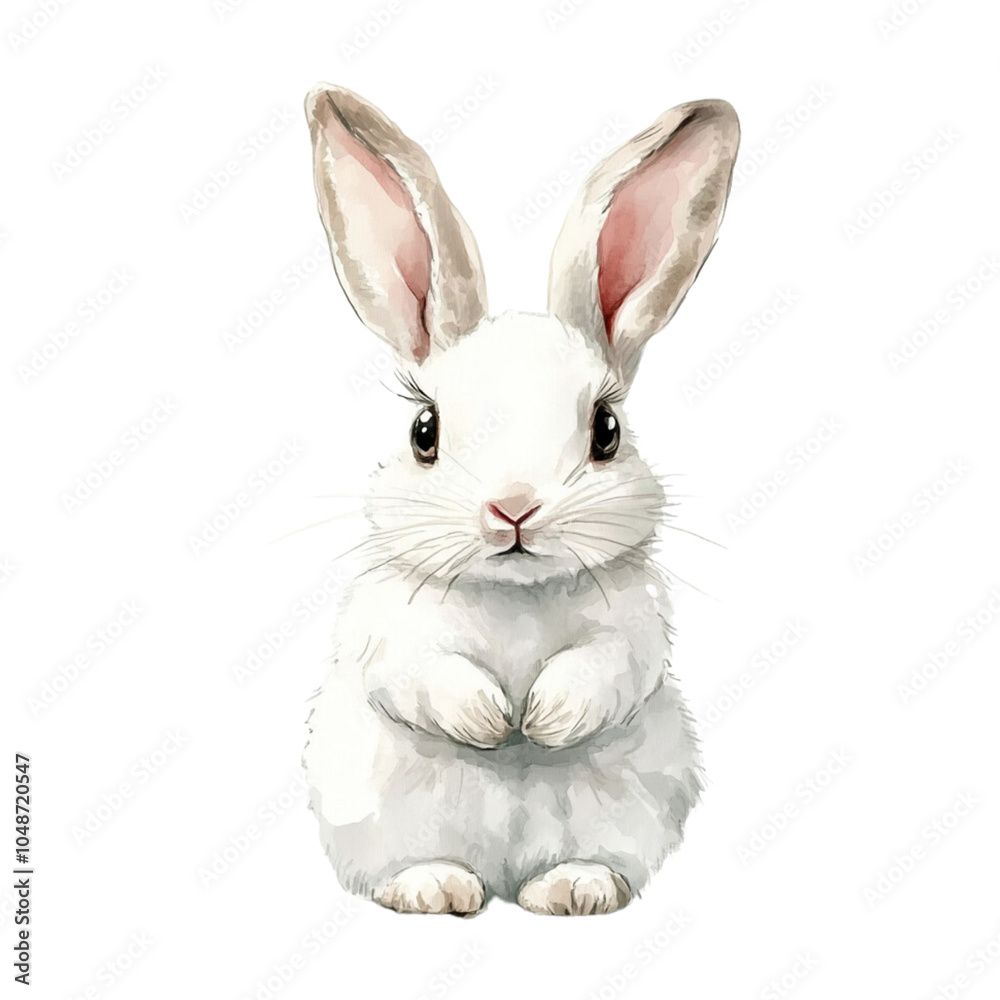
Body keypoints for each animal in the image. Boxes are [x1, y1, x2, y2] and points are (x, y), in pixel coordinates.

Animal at [302, 84, 739, 916]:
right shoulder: (389, 629)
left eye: (606, 430)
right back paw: (436, 888)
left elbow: (609, 666)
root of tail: (501, 880)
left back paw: (572, 888)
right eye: (425, 430)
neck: (514, 592)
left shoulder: (634, 627)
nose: (512, 510)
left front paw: (544, 718)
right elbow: (419, 670)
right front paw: (491, 720)